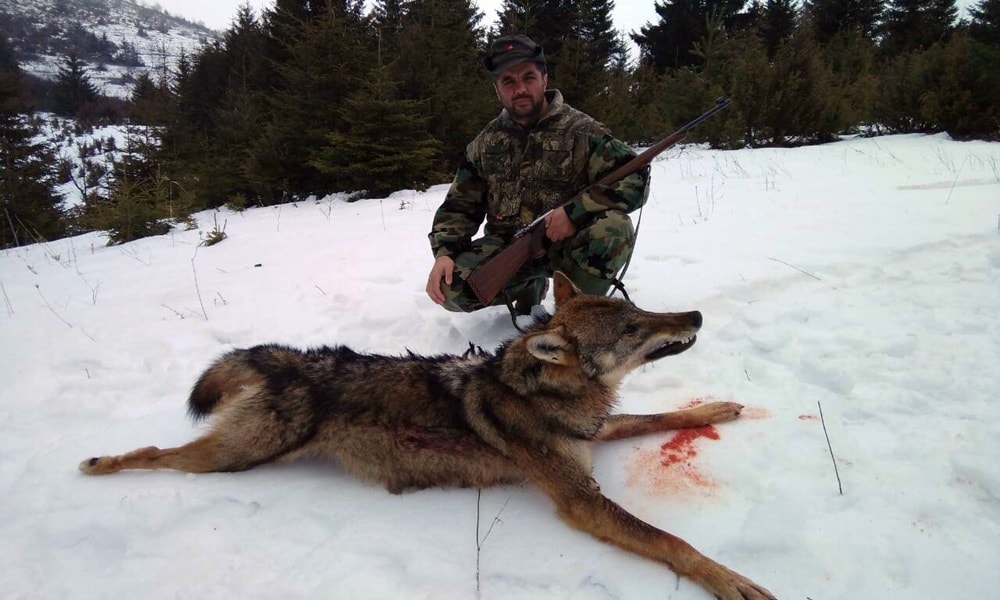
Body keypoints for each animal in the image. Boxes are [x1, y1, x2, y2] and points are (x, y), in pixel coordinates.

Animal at [82, 274, 776, 600]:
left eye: (638, 310)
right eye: (632, 328)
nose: (696, 315)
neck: (543, 394)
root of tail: (293, 360)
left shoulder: (597, 433)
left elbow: (658, 418)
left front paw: (718, 406)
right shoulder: (580, 500)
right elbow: (672, 541)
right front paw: (731, 579)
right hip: (231, 458)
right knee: (155, 453)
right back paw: (99, 463)